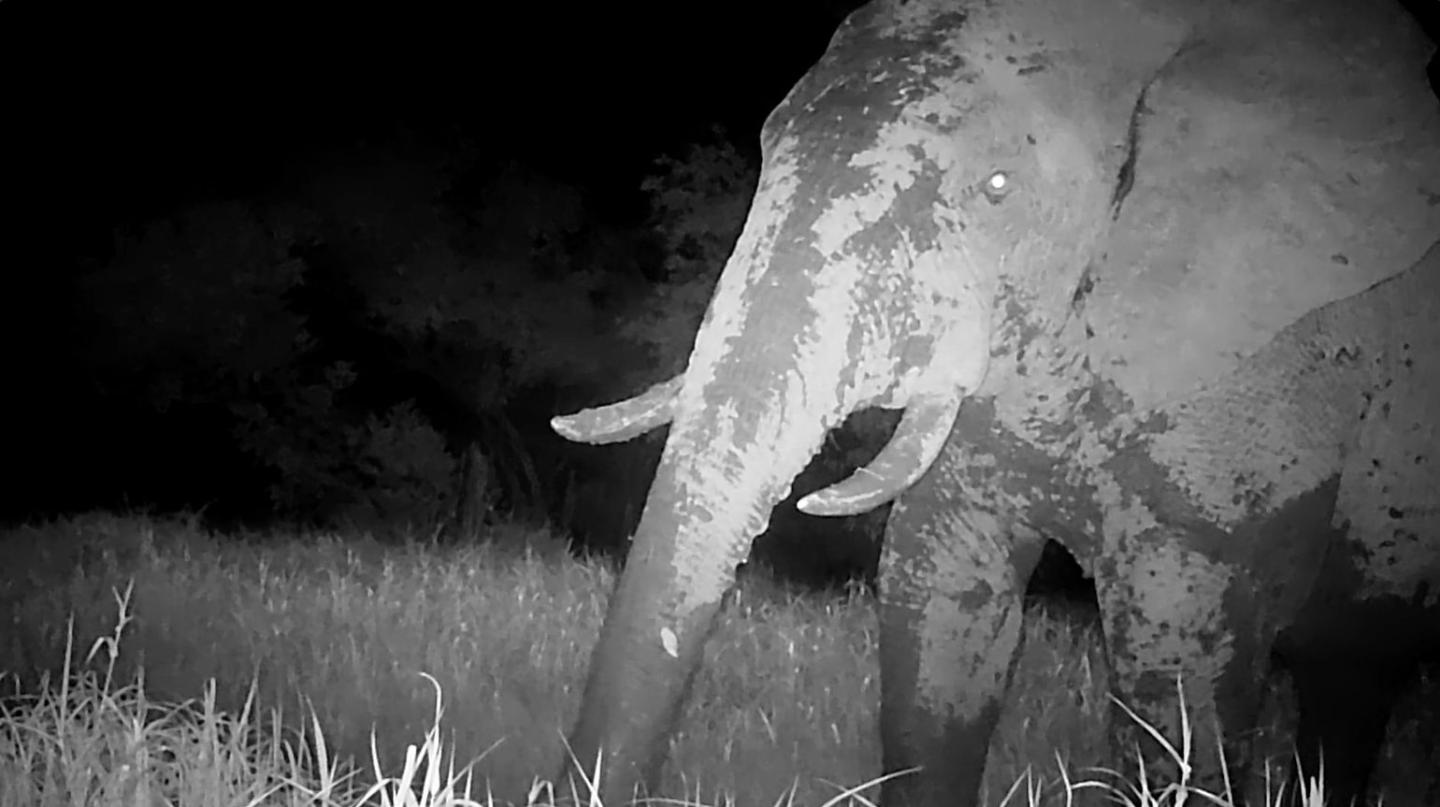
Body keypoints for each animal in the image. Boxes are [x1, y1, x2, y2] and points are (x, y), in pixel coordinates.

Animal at [550, 0, 1440, 804]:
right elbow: (938, 611)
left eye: (999, 187)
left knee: (1352, 667)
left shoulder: (1260, 369)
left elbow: (1178, 678)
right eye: (769, 155)